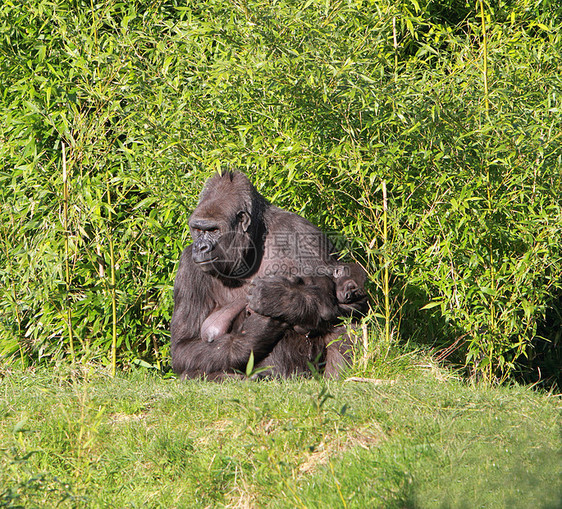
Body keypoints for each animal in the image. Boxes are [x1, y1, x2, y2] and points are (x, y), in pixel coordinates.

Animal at [168, 171, 366, 378]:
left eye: (213, 230)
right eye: (198, 229)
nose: (200, 247)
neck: (251, 248)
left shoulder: (303, 233)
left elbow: (344, 295)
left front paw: (279, 299)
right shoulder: (188, 265)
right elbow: (183, 347)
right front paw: (253, 333)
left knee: (345, 314)